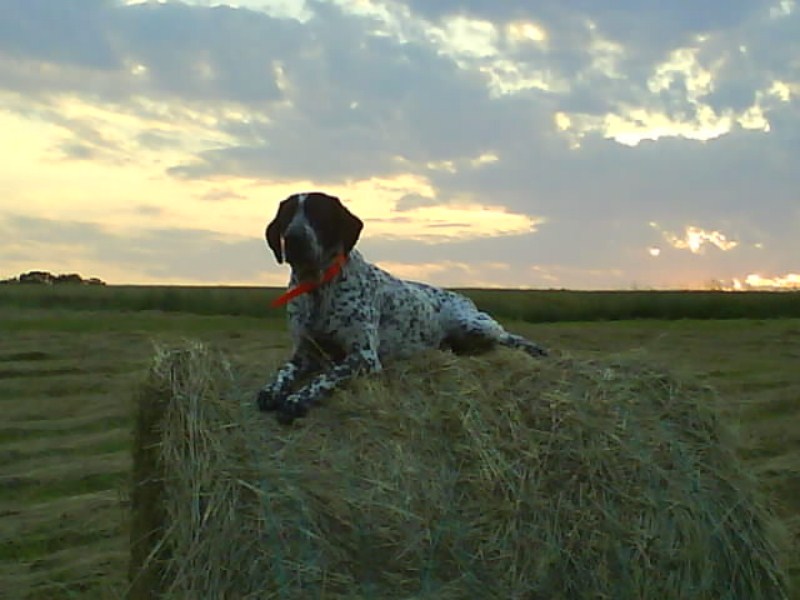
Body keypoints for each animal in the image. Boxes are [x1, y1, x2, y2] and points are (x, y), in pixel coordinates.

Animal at [260, 191, 548, 422]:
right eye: (287, 216)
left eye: (319, 214)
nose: (294, 238)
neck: (318, 288)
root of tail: (463, 297)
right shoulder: (304, 353)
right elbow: (284, 372)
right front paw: (273, 390)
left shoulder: (364, 356)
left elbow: (325, 376)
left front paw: (297, 399)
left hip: (472, 324)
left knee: (505, 335)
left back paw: (532, 349)